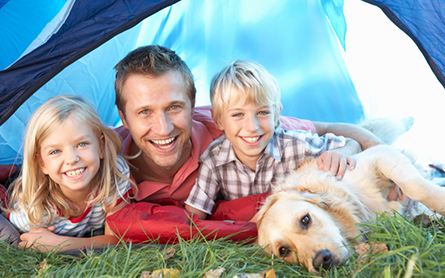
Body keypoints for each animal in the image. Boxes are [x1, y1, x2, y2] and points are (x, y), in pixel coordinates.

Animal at [255, 116, 444, 272]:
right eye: (283, 251)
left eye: (305, 220)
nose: (321, 261)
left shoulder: (379, 155)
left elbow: (414, 187)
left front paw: (440, 201)